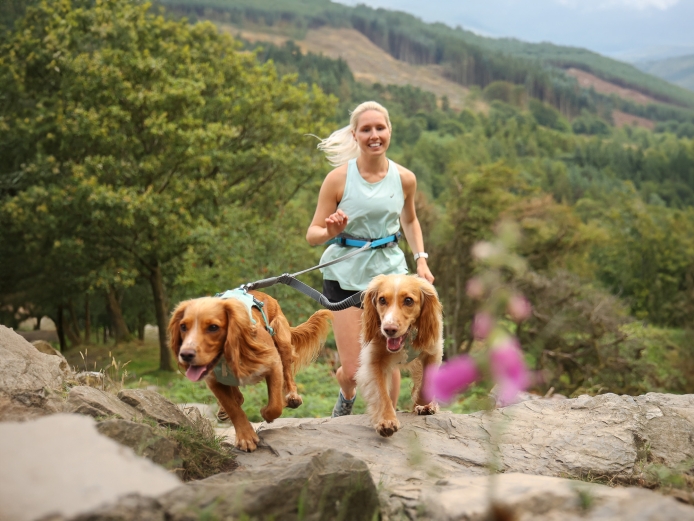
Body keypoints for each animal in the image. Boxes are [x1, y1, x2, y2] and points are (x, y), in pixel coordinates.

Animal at [168, 292, 332, 450]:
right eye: (183, 327)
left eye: (213, 327)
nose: (185, 355)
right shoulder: (214, 381)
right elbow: (233, 408)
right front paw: (245, 438)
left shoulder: (273, 364)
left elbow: (275, 405)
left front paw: (265, 413)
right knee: (237, 396)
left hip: (281, 338)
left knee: (288, 374)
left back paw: (292, 396)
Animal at [356, 274, 444, 436]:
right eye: (382, 300)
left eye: (408, 300)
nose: (389, 329)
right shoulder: (374, 360)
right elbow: (382, 394)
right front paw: (386, 420)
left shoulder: (433, 352)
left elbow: (426, 384)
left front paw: (422, 404)